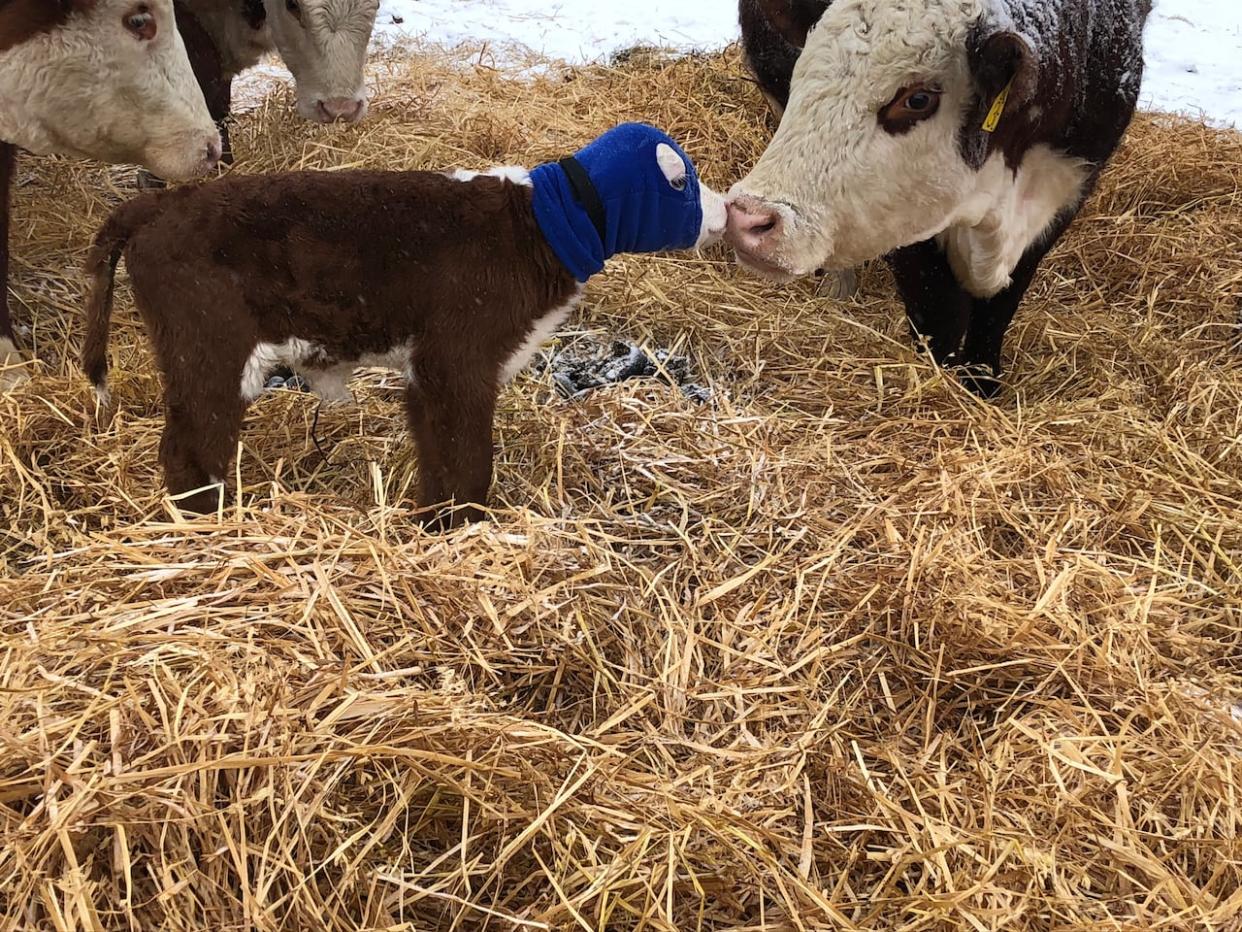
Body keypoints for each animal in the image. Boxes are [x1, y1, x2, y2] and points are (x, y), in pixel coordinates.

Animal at [80, 124, 725, 529]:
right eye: (682, 182)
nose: (727, 212)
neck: (539, 225)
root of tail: (158, 206)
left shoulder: (430, 371)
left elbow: (437, 449)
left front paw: (433, 519)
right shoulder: (457, 360)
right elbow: (468, 456)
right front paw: (464, 525)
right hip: (209, 348)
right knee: (190, 446)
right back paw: (209, 523)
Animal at [725, 0, 1152, 397]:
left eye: (918, 99)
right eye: (805, 67)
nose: (748, 218)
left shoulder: (1064, 196)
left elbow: (998, 312)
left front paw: (982, 387)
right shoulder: (910, 229)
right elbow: (939, 319)